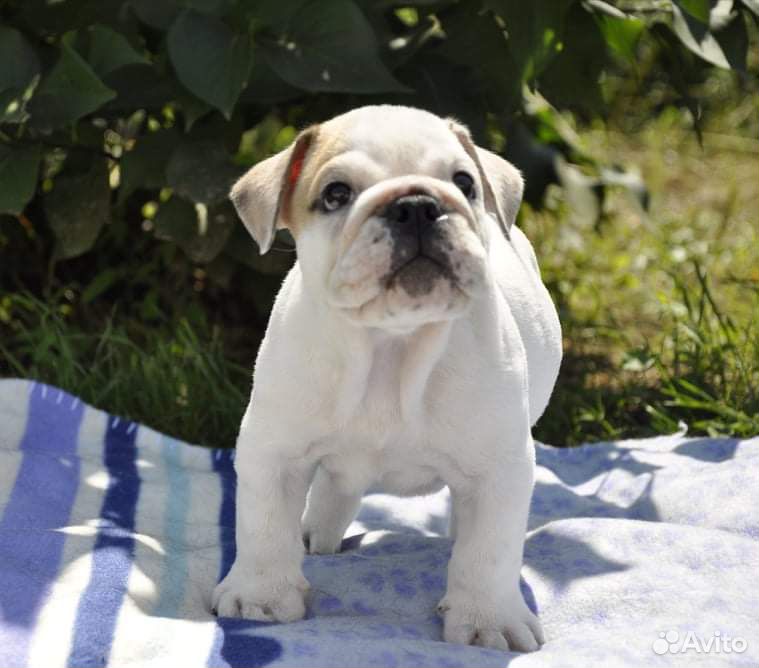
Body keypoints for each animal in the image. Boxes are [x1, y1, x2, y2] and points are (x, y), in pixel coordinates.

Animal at [211, 105, 560, 652]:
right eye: (336, 194)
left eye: (464, 182)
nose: (416, 205)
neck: (391, 346)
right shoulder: (275, 452)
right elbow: (263, 526)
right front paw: (260, 597)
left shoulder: (499, 468)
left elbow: (489, 550)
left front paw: (488, 619)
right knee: (335, 486)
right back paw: (316, 531)